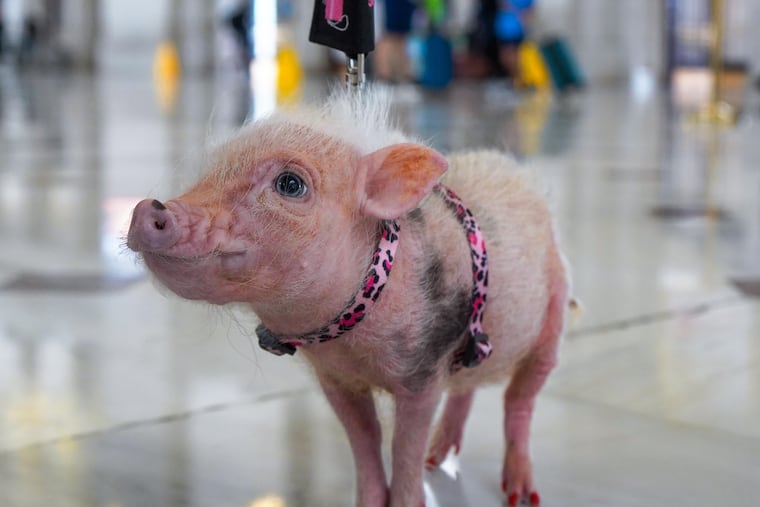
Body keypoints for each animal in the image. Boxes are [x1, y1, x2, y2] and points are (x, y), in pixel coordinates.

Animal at [127, 86, 571, 507]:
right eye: (207, 174)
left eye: (290, 184)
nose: (149, 208)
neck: (351, 341)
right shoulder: (336, 378)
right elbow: (365, 436)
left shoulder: (424, 369)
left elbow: (403, 446)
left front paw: (409, 493)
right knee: (466, 388)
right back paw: (437, 459)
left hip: (556, 309)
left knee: (520, 398)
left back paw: (520, 495)